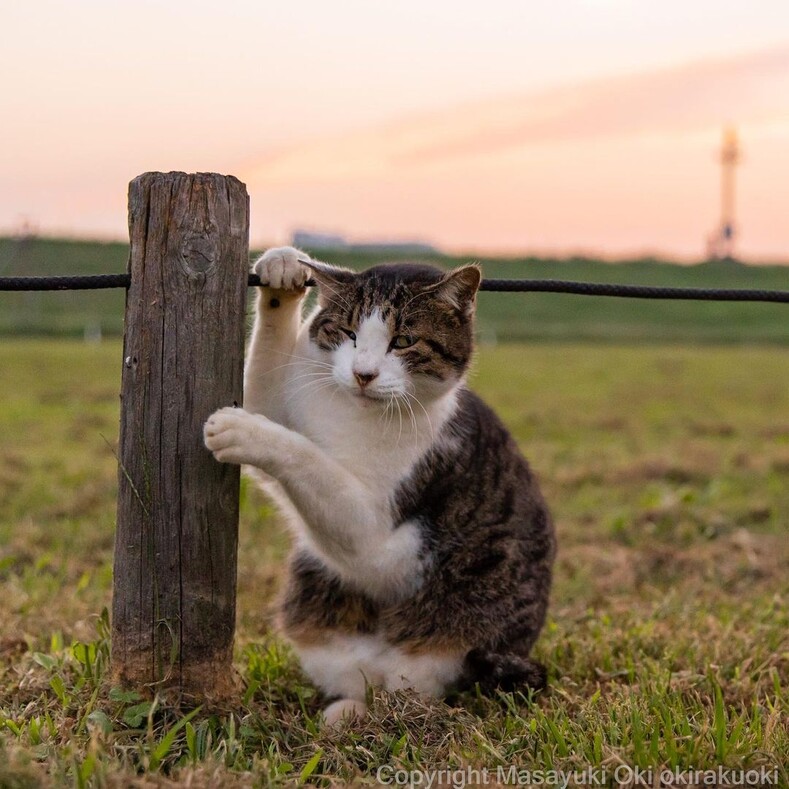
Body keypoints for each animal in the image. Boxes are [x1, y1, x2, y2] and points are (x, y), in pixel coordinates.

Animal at [203, 248, 556, 728]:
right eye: (348, 333)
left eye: (403, 341)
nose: (363, 374)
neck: (358, 413)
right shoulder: (287, 401)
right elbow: (264, 399)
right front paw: (284, 269)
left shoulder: (385, 543)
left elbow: (309, 458)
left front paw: (239, 430)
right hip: (316, 607)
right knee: (354, 674)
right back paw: (346, 711)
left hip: (457, 631)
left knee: (412, 691)